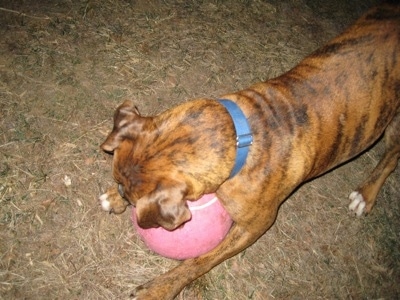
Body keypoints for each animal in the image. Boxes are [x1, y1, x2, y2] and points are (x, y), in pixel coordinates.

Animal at [98, 5, 398, 300]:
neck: (241, 136)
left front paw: (160, 287)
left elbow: (201, 260)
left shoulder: (253, 227)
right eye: (120, 185)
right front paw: (112, 198)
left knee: (391, 155)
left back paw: (366, 194)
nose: (121, 194)